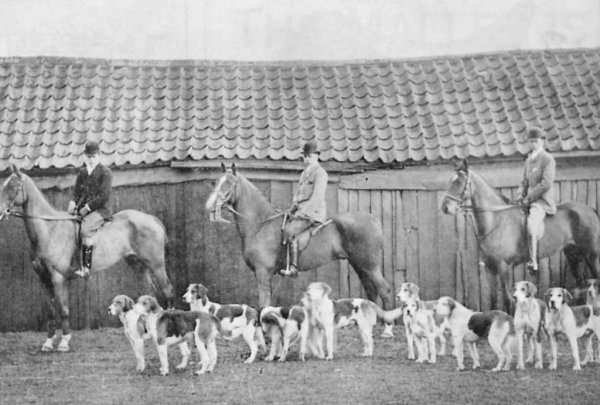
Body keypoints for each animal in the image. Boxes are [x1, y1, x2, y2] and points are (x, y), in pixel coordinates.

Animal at [0, 163, 175, 350]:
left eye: (13, 187)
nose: (0, 212)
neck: (49, 229)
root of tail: (152, 219)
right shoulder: (44, 278)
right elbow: (51, 311)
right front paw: (48, 342)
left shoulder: (58, 277)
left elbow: (63, 309)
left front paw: (64, 342)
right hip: (137, 264)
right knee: (149, 293)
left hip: (156, 265)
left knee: (168, 291)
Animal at [204, 163, 396, 336]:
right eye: (216, 182)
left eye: (230, 183)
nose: (209, 206)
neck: (261, 225)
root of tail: (373, 219)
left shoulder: (262, 272)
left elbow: (263, 304)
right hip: (359, 265)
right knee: (371, 290)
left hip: (369, 265)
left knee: (384, 290)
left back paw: (387, 329)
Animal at [440, 159, 600, 310]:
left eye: (459, 182)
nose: (445, 207)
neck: (496, 220)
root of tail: (590, 209)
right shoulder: (489, 268)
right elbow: (493, 299)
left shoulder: (503, 267)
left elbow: (507, 299)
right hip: (573, 255)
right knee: (580, 286)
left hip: (592, 255)